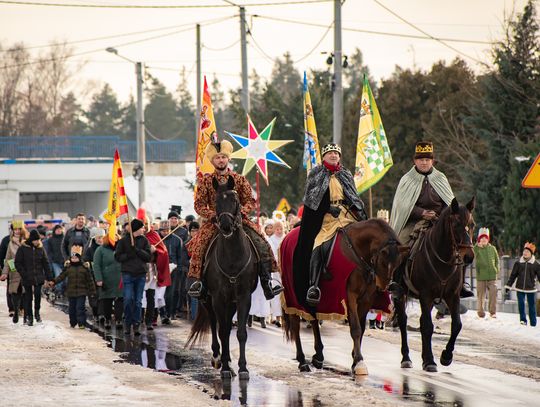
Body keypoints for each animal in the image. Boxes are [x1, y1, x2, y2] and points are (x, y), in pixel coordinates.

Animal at [187, 177, 258, 380]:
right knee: (214, 324)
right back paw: (218, 358)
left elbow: (240, 332)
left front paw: (242, 368)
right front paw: (225, 366)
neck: (233, 257)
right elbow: (223, 331)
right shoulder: (218, 297)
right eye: (216, 201)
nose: (226, 226)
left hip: (231, 302)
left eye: (235, 200)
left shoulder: (243, 297)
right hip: (207, 300)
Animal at [282, 220, 404, 376]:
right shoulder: (350, 296)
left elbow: (361, 328)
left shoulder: (366, 299)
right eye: (383, 262)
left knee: (313, 319)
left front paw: (355, 361)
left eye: (398, 263)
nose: (383, 286)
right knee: (295, 324)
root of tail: (288, 235)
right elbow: (356, 328)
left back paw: (318, 357)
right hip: (292, 295)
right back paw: (303, 361)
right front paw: (359, 362)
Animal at [392, 198, 476, 372]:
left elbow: (456, 325)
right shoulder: (426, 295)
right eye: (456, 224)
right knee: (403, 321)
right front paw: (430, 361)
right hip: (400, 294)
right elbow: (427, 326)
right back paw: (406, 358)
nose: (469, 256)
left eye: (472, 224)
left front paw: (446, 356)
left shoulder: (452, 296)